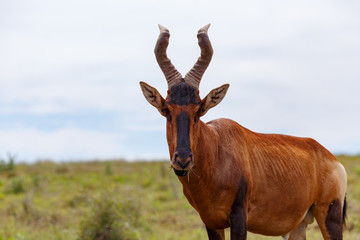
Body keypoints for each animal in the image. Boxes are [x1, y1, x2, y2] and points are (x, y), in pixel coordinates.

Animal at [139, 24, 348, 240]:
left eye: (199, 110)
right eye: (166, 110)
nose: (182, 160)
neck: (216, 148)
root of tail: (333, 159)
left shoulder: (239, 216)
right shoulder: (210, 221)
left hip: (329, 214)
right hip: (299, 224)